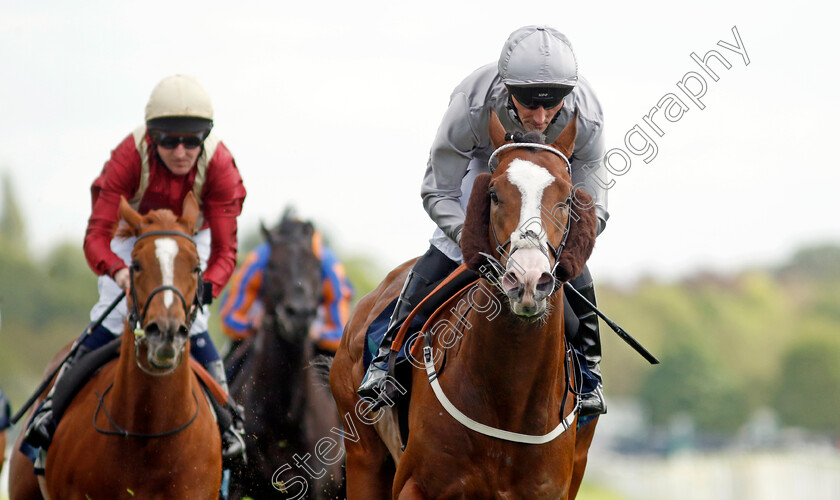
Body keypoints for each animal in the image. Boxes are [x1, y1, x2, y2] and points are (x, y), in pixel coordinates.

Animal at [225, 216, 346, 500]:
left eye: (316, 267)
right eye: (272, 265)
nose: (299, 314)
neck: (286, 416)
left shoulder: (318, 489)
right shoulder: (238, 482)